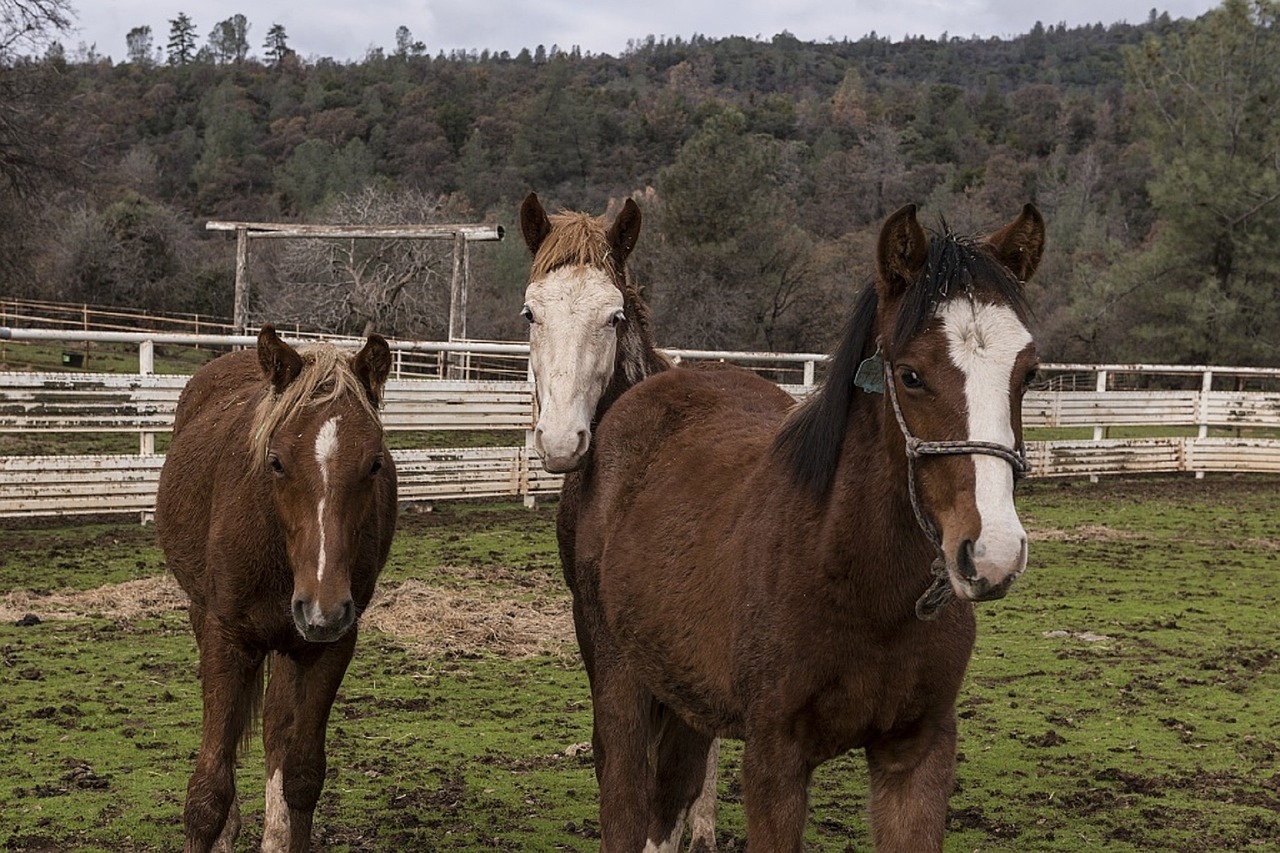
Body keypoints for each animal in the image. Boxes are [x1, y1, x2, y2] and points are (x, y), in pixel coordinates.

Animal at [161, 325, 399, 850]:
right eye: (276, 462)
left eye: (375, 464)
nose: (323, 608)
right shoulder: (227, 638)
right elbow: (207, 792)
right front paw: (219, 827)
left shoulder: (328, 647)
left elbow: (302, 776)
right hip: (206, 615)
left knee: (274, 728)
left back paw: (273, 833)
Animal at [576, 202, 1044, 845]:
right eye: (910, 375)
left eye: (1029, 373)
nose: (993, 554)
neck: (855, 581)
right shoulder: (774, 760)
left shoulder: (918, 754)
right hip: (620, 683)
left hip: (686, 696)